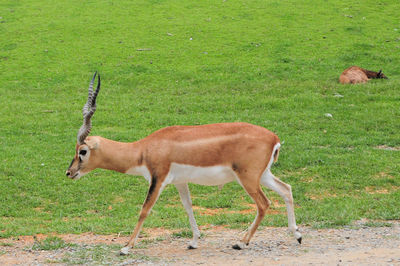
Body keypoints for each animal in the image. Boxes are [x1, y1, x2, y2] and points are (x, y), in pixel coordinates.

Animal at [67, 72, 302, 254]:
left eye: (82, 151)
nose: (69, 173)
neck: (143, 149)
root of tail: (274, 138)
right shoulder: (180, 182)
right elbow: (188, 207)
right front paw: (194, 242)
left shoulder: (158, 179)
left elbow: (145, 209)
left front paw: (126, 247)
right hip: (262, 175)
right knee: (286, 189)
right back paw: (297, 235)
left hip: (248, 178)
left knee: (264, 203)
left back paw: (241, 242)